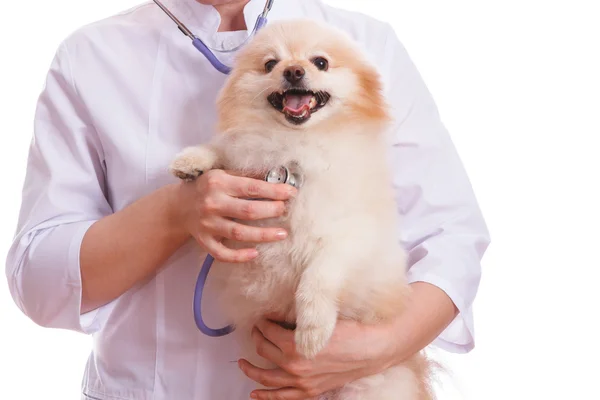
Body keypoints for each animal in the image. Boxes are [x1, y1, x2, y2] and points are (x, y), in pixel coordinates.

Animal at [171, 19, 434, 400]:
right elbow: (222, 150)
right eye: (270, 64)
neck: (294, 145)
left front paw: (312, 331)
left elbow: (319, 275)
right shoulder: (247, 158)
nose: (294, 70)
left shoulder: (352, 236)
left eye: (320, 62)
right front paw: (191, 161)